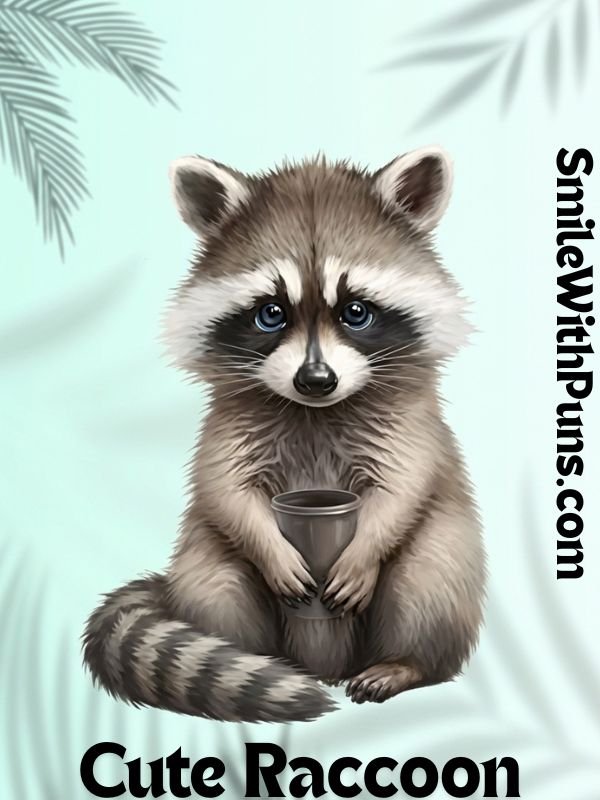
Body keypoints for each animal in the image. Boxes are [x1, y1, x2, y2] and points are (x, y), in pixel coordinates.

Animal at [83, 148, 486, 723]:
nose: (315, 380)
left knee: (429, 577)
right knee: (217, 584)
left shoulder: (407, 425)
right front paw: (267, 544)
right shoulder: (228, 426)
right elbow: (224, 488)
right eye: (271, 313)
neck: (315, 411)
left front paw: (367, 547)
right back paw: (252, 657)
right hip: (203, 564)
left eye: (355, 311)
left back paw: (406, 662)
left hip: (447, 553)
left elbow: (403, 487)